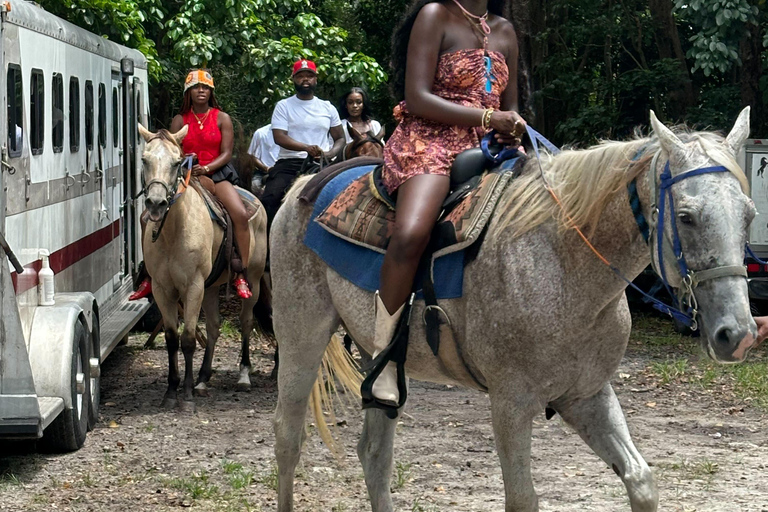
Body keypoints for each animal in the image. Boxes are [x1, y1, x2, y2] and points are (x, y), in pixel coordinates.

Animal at [139, 125, 270, 412]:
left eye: (177, 162)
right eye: (144, 160)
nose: (156, 203)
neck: (173, 231)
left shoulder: (193, 286)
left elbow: (188, 338)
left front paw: (186, 395)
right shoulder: (163, 289)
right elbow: (171, 338)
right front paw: (172, 391)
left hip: (252, 281)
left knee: (246, 322)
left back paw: (243, 375)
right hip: (210, 287)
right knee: (214, 326)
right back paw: (202, 379)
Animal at [270, 109, 756, 512]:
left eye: (749, 215)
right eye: (687, 217)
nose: (738, 335)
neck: (562, 262)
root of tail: (305, 186)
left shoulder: (587, 395)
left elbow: (641, 480)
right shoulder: (511, 404)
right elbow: (522, 499)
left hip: (379, 362)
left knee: (374, 454)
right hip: (301, 339)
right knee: (288, 438)